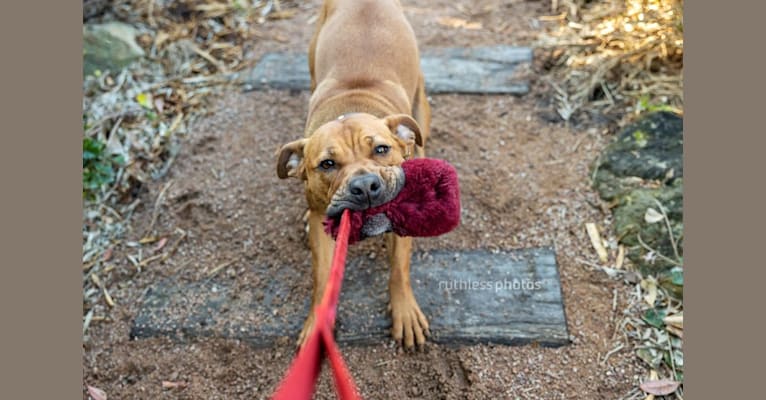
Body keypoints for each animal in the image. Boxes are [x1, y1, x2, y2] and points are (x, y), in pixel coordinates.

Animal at [276, 0, 432, 350]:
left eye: (381, 149)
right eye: (327, 164)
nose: (365, 186)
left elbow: (399, 268)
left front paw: (404, 312)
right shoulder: (321, 226)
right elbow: (322, 277)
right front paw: (317, 325)